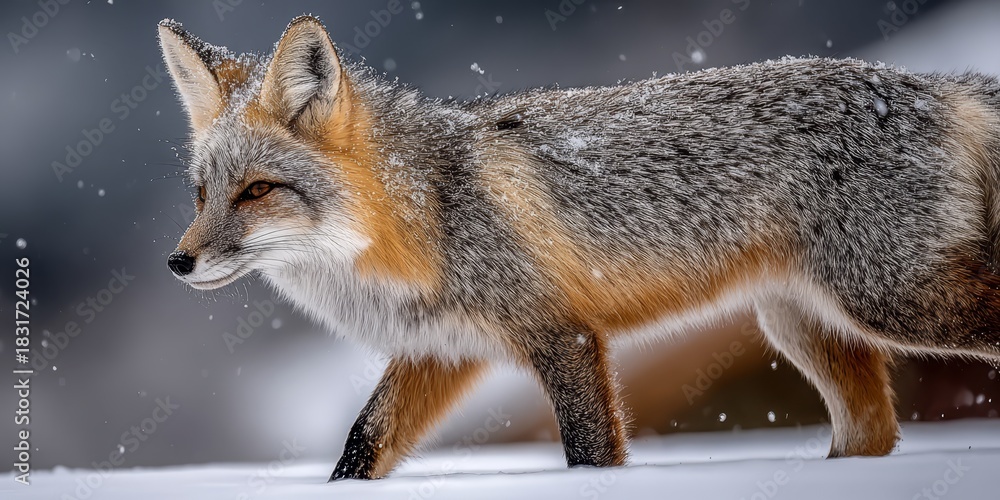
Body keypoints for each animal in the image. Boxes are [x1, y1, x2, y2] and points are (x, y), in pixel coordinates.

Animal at [158, 15, 1000, 480]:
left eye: (257, 191)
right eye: (201, 194)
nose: (178, 262)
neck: (422, 216)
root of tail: (927, 82)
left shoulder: (561, 334)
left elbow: (590, 453)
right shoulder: (442, 352)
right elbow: (362, 445)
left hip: (895, 301)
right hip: (802, 323)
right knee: (872, 436)